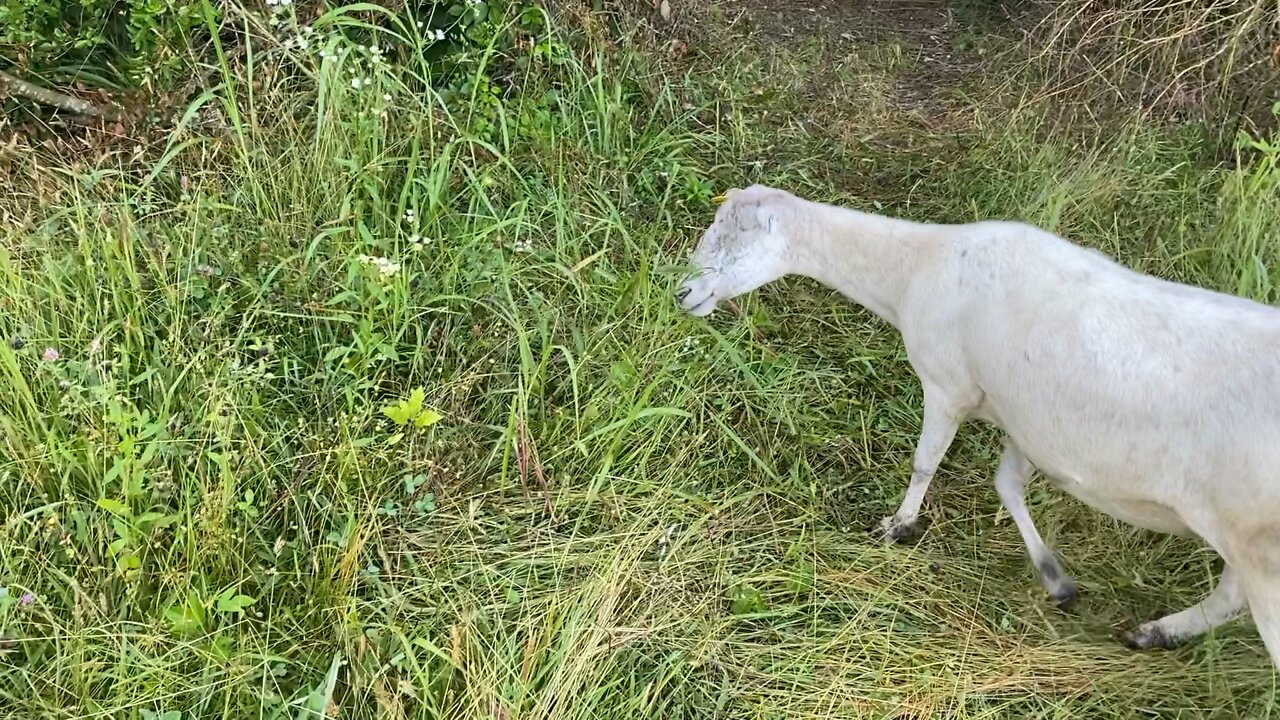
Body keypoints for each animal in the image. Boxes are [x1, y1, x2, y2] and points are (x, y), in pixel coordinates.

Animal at [680, 181, 1280, 666]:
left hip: (1261, 548)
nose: (683, 292)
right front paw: (1055, 579)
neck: (914, 269)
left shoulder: (948, 382)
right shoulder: (1026, 421)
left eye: (733, 239)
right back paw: (1156, 633)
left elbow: (925, 462)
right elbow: (1007, 484)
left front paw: (897, 527)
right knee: (1228, 597)